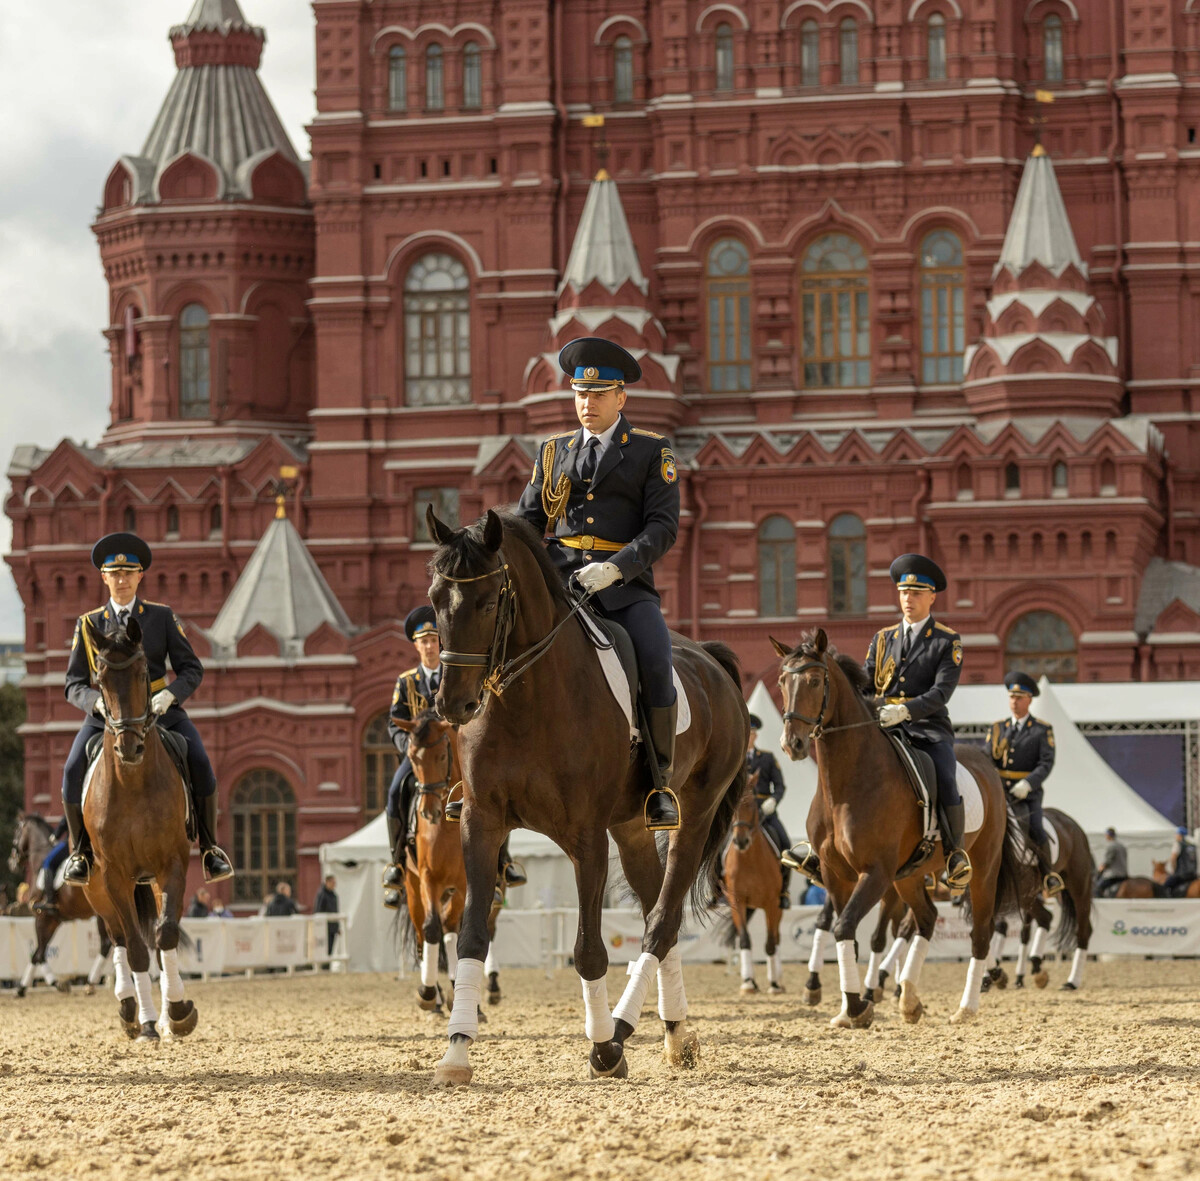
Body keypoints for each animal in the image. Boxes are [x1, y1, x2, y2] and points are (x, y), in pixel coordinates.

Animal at [79, 614, 198, 1036]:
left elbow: (165, 936)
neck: (131, 784)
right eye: (99, 679)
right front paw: (147, 1022)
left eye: (145, 671)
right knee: (117, 939)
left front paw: (176, 1012)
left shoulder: (172, 865)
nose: (129, 747)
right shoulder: (113, 875)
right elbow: (134, 950)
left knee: (158, 941)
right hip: (97, 889)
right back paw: (132, 1010)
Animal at [396, 710, 504, 1012]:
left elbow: (456, 929)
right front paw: (427, 993)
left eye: (443, 756)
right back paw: (436, 997)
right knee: (423, 934)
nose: (427, 812)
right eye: (412, 757)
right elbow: (432, 929)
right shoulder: (428, 879)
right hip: (412, 887)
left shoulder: (465, 884)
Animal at [422, 508, 744, 1089]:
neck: (527, 699)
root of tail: (708, 657)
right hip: (632, 829)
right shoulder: (481, 824)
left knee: (661, 922)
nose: (452, 703)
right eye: (436, 598)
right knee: (657, 918)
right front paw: (457, 1051)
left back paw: (620, 1031)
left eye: (487, 602)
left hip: (694, 815)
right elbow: (473, 937)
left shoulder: (586, 838)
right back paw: (675, 1033)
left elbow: (589, 951)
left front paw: (601, 1049)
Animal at [720, 768, 787, 993]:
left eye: (752, 805)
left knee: (776, 937)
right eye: (731, 807)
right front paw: (748, 982)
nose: (740, 841)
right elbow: (745, 940)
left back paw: (777, 979)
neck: (749, 860)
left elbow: (770, 943)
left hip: (778, 906)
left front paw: (774, 984)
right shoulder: (738, 902)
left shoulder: (772, 903)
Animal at [768, 633, 1022, 1027]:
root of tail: (988, 768)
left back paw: (965, 1007)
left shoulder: (875, 872)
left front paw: (857, 1007)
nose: (791, 744)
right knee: (926, 919)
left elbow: (846, 927)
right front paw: (848, 1006)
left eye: (814, 681)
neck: (845, 784)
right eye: (782, 681)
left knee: (980, 932)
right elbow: (844, 931)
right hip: (909, 877)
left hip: (982, 871)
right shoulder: (837, 874)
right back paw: (909, 999)